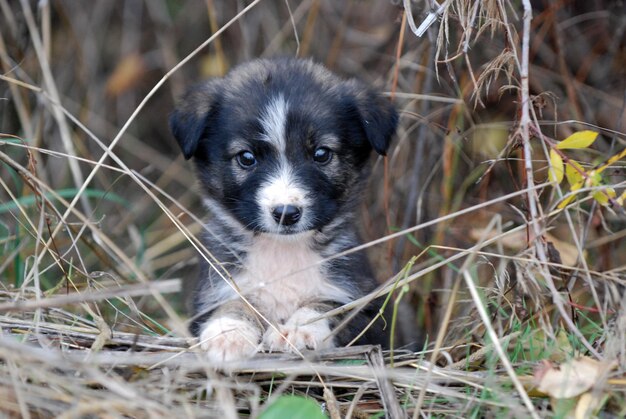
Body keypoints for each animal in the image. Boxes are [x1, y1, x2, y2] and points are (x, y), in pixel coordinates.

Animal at [168, 57, 398, 362]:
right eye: (246, 157)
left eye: (321, 154)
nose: (286, 213)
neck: (282, 252)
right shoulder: (213, 290)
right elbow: (232, 305)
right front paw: (227, 333)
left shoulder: (365, 308)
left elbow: (328, 308)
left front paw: (298, 330)